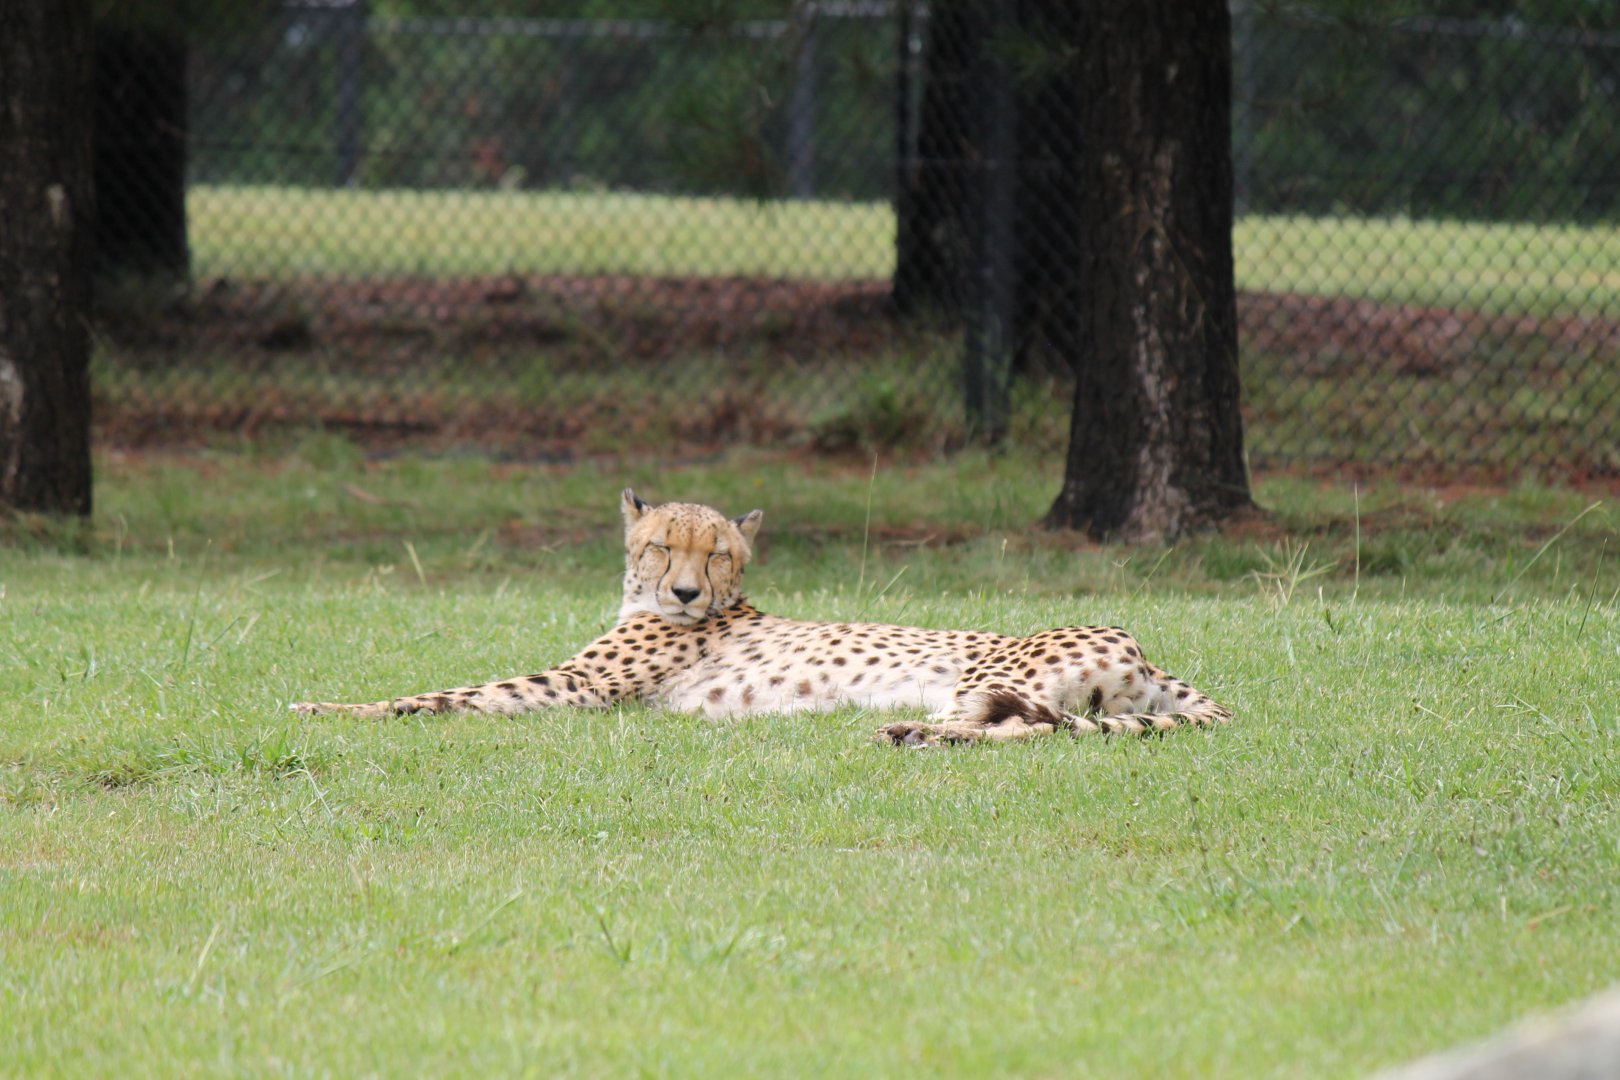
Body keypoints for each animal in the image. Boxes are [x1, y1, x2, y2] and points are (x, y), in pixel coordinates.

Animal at [294, 489, 1232, 745]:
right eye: (662, 546)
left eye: (717, 554)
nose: (683, 594)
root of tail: (1145, 649)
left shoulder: (572, 689)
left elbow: (438, 696)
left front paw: (320, 706)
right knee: (1039, 729)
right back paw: (914, 734)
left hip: (992, 671)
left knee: (1029, 726)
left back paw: (916, 735)